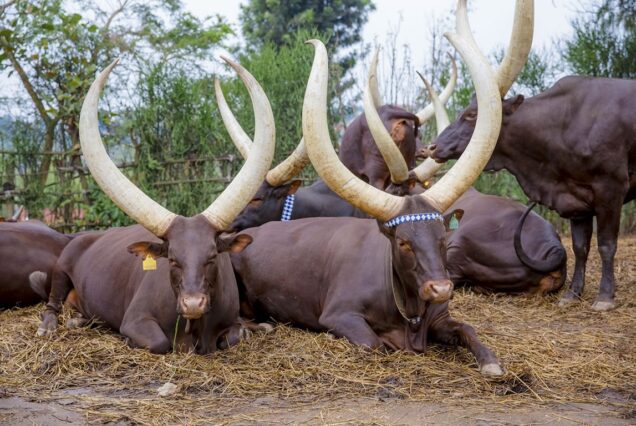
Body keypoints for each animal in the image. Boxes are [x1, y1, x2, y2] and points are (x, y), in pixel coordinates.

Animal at [37, 57, 276, 356]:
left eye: (212, 257)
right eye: (172, 259)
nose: (193, 304)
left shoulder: (230, 322)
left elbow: (232, 336)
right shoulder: (135, 320)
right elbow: (159, 342)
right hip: (60, 268)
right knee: (52, 303)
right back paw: (49, 325)